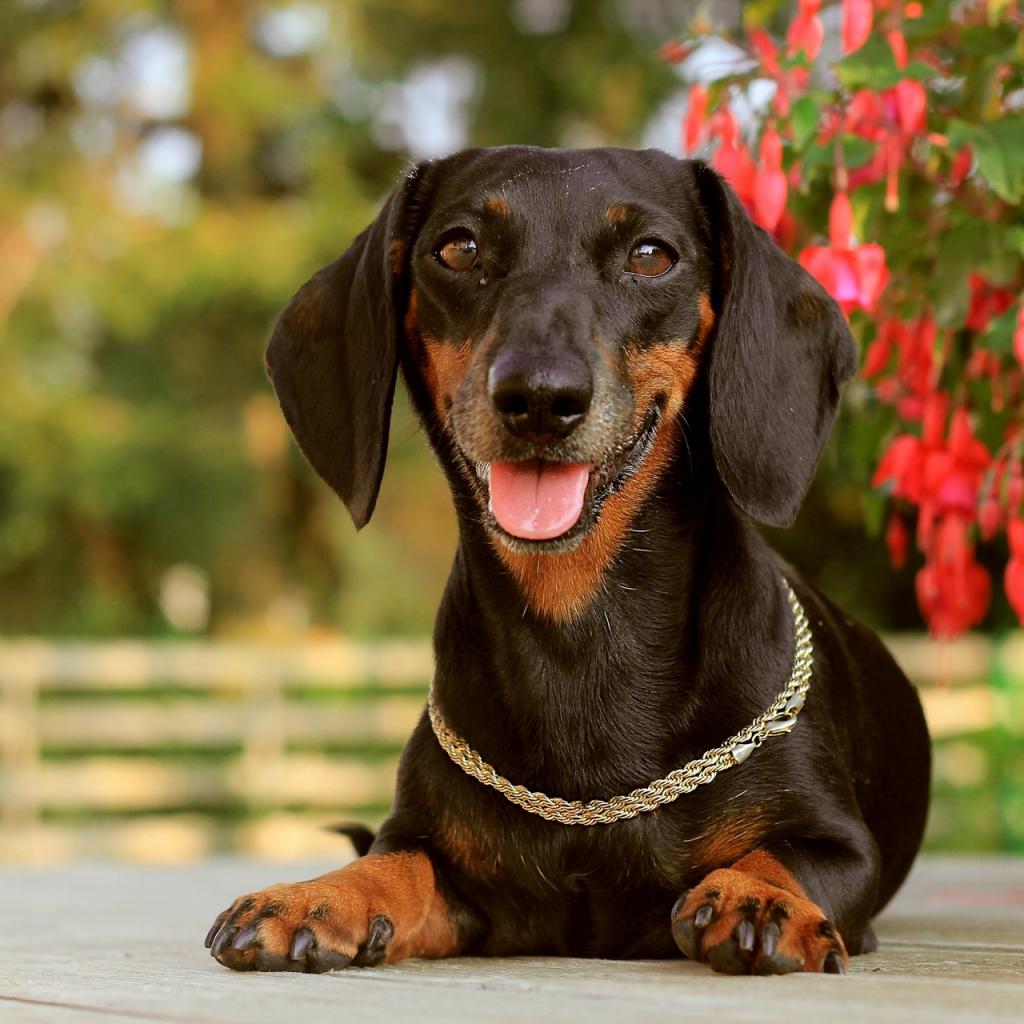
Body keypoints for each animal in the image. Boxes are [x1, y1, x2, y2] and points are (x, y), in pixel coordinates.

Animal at [204, 146, 931, 976]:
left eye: (652, 255)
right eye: (458, 248)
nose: (540, 399)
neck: (579, 635)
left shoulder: (844, 850)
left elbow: (780, 854)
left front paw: (759, 896)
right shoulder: (448, 868)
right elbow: (397, 860)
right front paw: (320, 896)